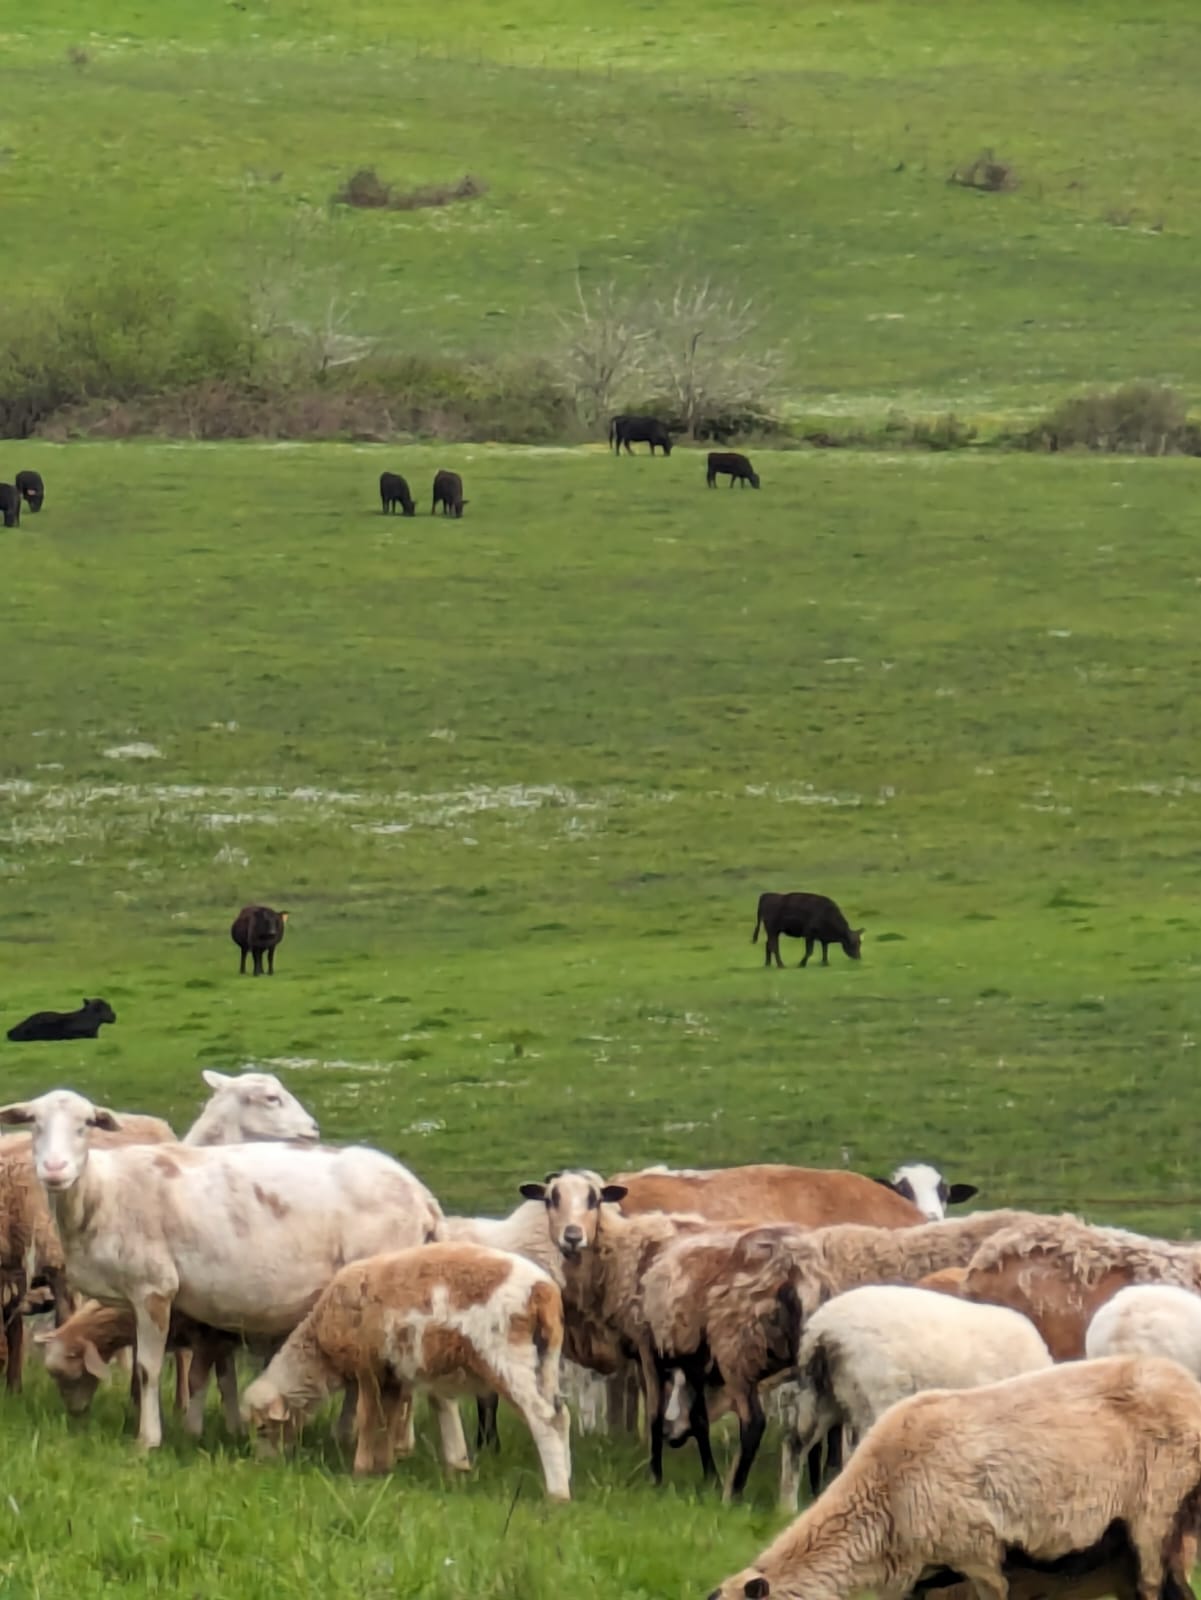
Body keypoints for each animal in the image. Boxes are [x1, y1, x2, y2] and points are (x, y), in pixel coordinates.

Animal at [0, 1089, 442, 1449]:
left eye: (87, 1124)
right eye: (34, 1123)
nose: (54, 1170)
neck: (103, 1192)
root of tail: (422, 1196)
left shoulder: (153, 1288)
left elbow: (147, 1368)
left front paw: (148, 1440)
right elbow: (210, 1373)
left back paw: (387, 1443)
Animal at [241, 1242, 572, 1499]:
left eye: (263, 1428)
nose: (262, 1466)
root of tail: (544, 1291)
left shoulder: (368, 1363)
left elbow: (368, 1416)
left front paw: (360, 1470)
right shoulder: (393, 1374)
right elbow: (388, 1417)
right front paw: (384, 1467)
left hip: (509, 1357)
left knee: (545, 1420)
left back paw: (557, 1494)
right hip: (545, 1361)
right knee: (561, 1415)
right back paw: (565, 1478)